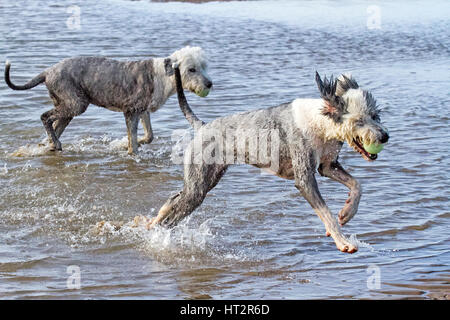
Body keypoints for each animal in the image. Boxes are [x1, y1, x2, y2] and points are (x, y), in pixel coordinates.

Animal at [135, 65, 388, 255]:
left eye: (375, 115)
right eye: (358, 121)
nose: (385, 136)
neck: (321, 122)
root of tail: (203, 126)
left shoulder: (327, 166)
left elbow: (357, 185)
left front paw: (347, 213)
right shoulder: (305, 179)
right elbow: (325, 212)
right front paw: (343, 241)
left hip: (206, 180)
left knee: (172, 201)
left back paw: (149, 222)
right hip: (197, 188)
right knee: (173, 213)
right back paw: (154, 230)